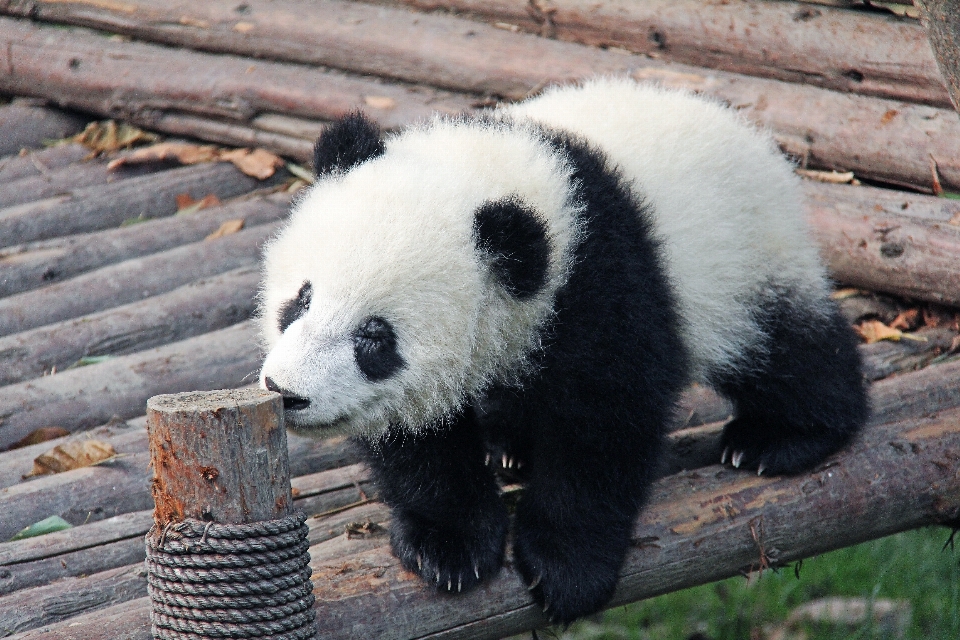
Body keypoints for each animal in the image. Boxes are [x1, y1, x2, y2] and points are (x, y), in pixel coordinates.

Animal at [256, 77, 872, 624]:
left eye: (375, 338)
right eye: (301, 299)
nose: (287, 392)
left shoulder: (602, 282)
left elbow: (604, 423)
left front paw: (565, 569)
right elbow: (419, 438)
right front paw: (449, 544)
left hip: (743, 256)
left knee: (782, 346)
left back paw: (779, 438)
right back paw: (511, 446)